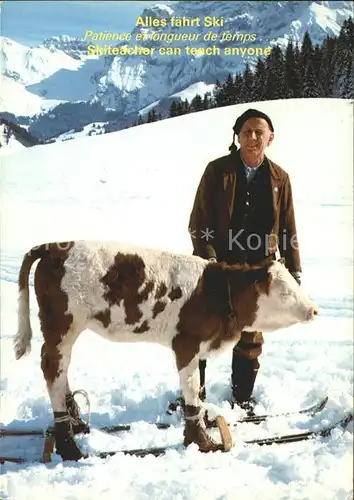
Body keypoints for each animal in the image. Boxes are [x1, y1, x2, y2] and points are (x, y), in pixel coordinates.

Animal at [13, 242, 318, 460]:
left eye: (294, 283)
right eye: (284, 292)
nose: (313, 310)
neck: (217, 293)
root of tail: (54, 246)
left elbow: (196, 388)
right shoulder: (185, 343)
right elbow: (192, 387)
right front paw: (202, 441)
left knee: (61, 370)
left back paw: (74, 422)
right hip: (61, 326)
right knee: (53, 369)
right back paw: (69, 446)